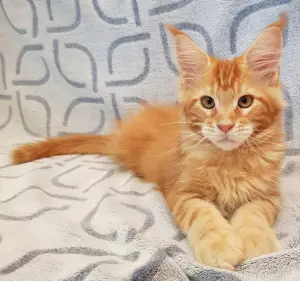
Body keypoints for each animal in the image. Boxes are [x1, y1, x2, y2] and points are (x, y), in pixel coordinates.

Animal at [12, 14, 288, 270]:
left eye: (245, 101)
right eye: (208, 102)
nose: (225, 126)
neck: (229, 160)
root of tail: (121, 135)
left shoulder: (268, 195)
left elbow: (252, 214)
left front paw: (257, 244)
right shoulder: (181, 192)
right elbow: (204, 214)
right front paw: (219, 245)